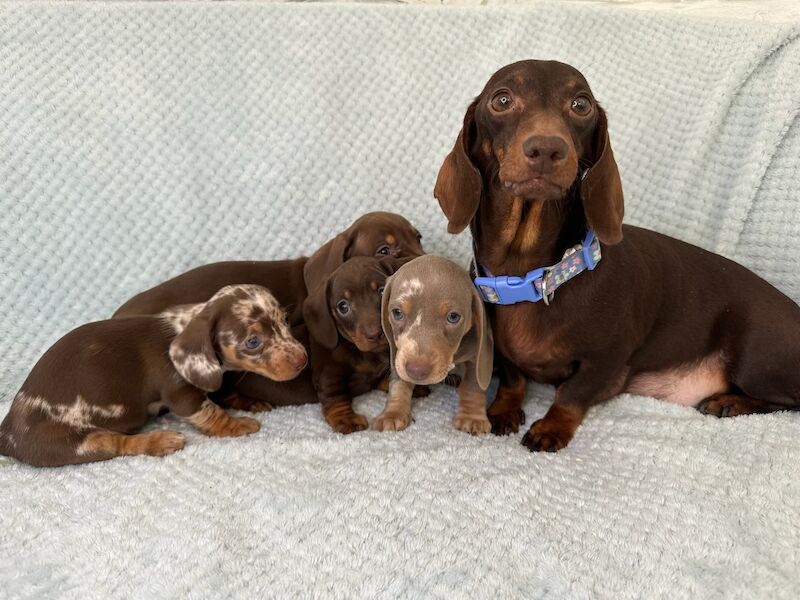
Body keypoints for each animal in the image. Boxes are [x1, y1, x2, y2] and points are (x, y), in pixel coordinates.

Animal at [0, 284, 306, 466]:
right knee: (118, 444)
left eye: (285, 321)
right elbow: (212, 413)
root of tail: (7, 431)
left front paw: (249, 402)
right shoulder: (182, 394)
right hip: (75, 443)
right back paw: (160, 441)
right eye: (253, 342)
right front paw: (237, 424)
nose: (303, 359)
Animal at [376, 255, 494, 434]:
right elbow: (399, 381)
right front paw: (393, 412)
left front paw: (472, 417)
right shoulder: (397, 354)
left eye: (453, 317)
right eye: (397, 313)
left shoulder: (477, 356)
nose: (417, 371)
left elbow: (473, 385)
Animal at [434, 59, 800, 450]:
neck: (533, 275)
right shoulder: (504, 354)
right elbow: (513, 379)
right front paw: (504, 409)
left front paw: (551, 428)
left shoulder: (608, 359)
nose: (547, 149)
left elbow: (572, 394)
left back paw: (729, 401)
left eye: (581, 105)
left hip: (755, 355)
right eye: (501, 99)